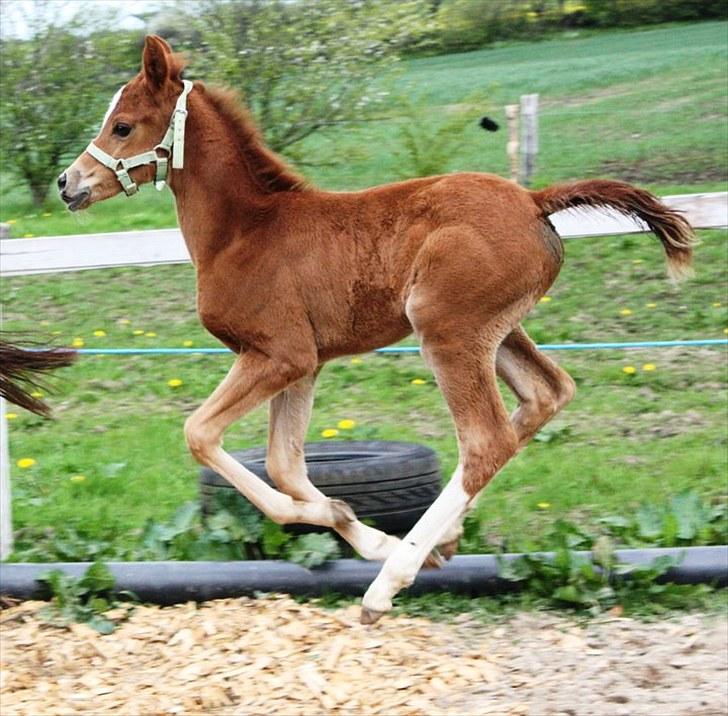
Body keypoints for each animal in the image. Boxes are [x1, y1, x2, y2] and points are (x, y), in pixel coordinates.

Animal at [58, 37, 692, 620]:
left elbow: (201, 434)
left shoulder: (278, 355)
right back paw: (438, 541)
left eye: (122, 126)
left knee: (486, 441)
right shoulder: (305, 364)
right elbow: (286, 464)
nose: (68, 183)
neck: (245, 231)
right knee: (544, 396)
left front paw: (367, 536)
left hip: (447, 329)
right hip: (498, 331)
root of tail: (535, 200)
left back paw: (389, 582)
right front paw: (357, 525)